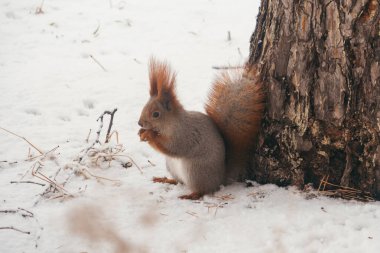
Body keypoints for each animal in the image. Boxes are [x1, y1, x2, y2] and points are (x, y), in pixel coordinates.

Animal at [138, 58, 266, 201]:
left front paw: (149, 135)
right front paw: (141, 133)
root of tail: (220, 178)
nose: (139, 123)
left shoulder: (184, 135)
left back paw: (191, 195)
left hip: (195, 171)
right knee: (179, 181)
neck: (170, 124)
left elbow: (173, 147)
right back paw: (166, 180)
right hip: (172, 167)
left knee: (202, 190)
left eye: (156, 114)